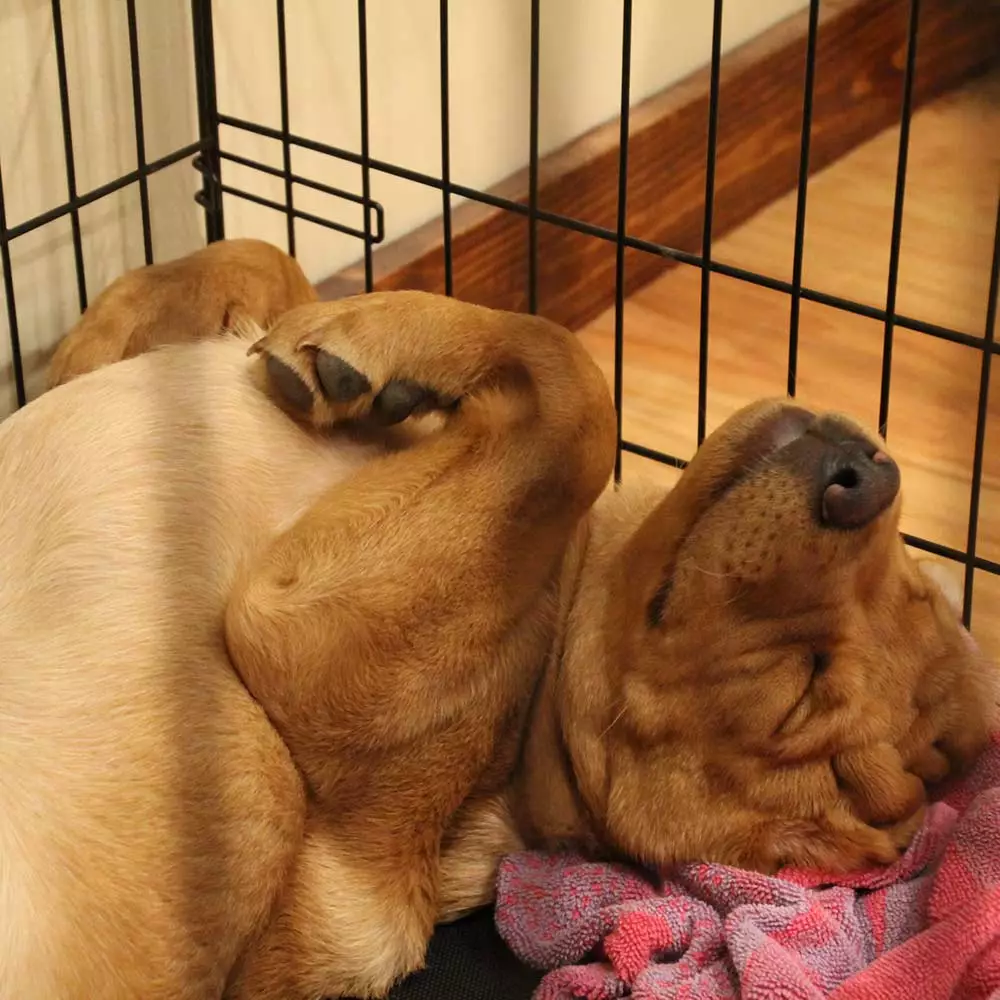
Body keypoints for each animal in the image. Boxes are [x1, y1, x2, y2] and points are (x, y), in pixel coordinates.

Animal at [1, 280, 992, 1000]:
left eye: (798, 692)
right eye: (912, 589)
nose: (864, 478)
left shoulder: (306, 633)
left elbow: (579, 393)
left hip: (249, 768)